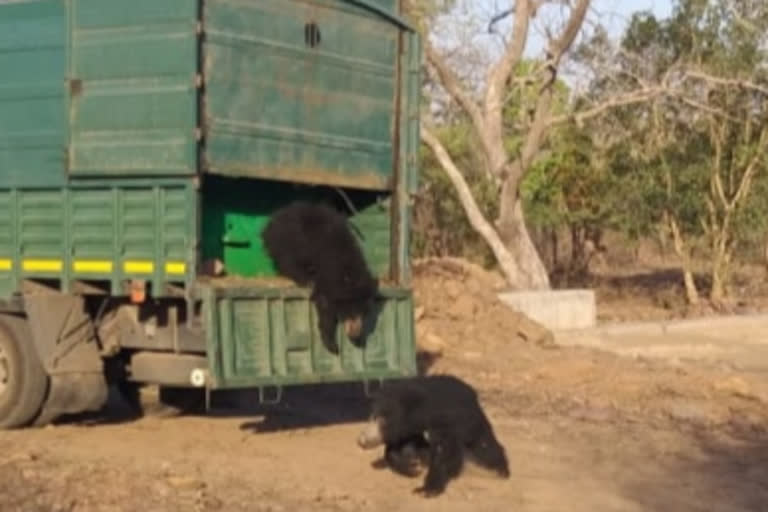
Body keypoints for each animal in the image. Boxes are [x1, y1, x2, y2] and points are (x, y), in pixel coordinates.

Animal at [260, 201, 378, 356]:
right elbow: (325, 307)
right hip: (286, 242)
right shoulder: (328, 275)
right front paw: (332, 345)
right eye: (352, 310)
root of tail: (271, 221)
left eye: (365, 312)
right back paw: (304, 278)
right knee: (287, 261)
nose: (355, 333)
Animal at [358, 374, 510, 498]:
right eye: (372, 417)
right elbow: (394, 450)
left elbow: (442, 454)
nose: (361, 441)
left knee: (483, 444)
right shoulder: (408, 432)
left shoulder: (443, 423)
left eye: (382, 420)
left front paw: (426, 490)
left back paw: (500, 471)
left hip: (471, 422)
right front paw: (412, 468)